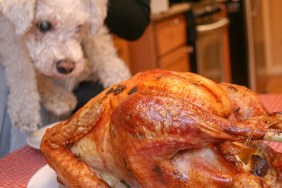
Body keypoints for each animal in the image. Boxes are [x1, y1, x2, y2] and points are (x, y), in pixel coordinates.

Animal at [0, 0, 131, 134]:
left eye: (79, 27)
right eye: (44, 25)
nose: (67, 68)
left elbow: (99, 42)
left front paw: (116, 73)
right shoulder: (8, 33)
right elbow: (20, 68)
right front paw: (25, 111)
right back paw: (59, 97)